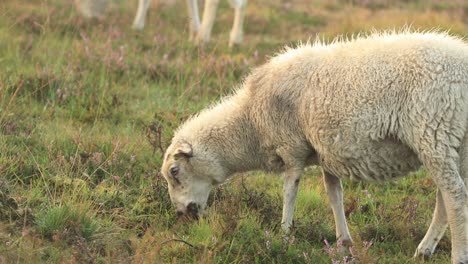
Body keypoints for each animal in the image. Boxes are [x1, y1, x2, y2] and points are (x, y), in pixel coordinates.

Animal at [160, 31, 468, 264]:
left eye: (175, 172)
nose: (182, 214)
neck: (250, 122)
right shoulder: (326, 152)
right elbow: (334, 194)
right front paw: (343, 241)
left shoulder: (292, 147)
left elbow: (289, 192)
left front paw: (283, 236)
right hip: (455, 145)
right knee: (444, 199)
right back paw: (424, 250)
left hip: (434, 132)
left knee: (455, 197)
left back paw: (457, 255)